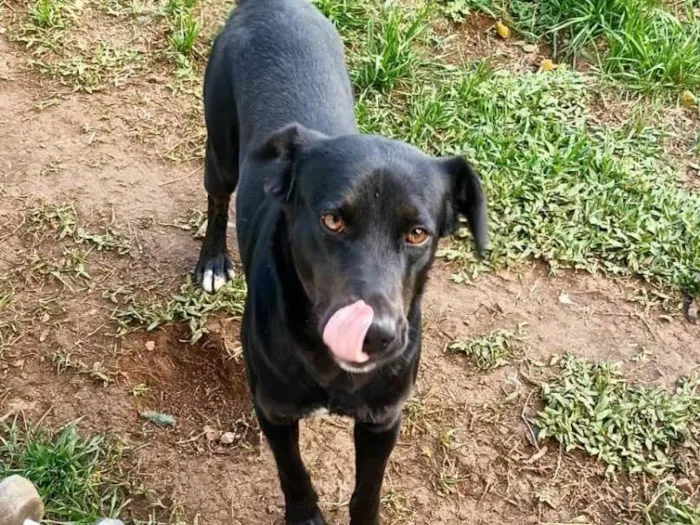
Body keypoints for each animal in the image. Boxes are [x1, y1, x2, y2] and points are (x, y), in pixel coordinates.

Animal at [194, 1, 484, 520]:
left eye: (417, 233)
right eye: (331, 220)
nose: (375, 334)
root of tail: (269, 6)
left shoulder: (382, 419)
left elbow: (368, 488)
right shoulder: (273, 408)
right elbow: (294, 473)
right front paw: (305, 515)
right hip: (221, 149)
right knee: (217, 198)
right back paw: (212, 260)